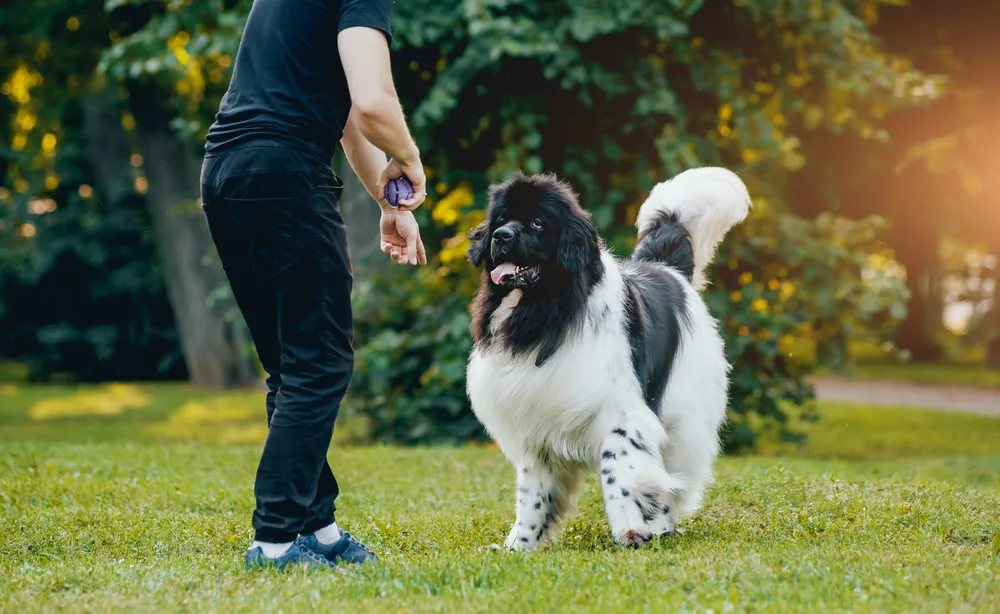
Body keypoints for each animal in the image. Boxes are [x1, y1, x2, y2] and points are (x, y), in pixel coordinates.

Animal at [464, 167, 748, 548]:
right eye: (501, 219)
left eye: (538, 222)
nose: (500, 236)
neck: (545, 312)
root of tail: (665, 268)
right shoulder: (536, 424)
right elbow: (532, 493)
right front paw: (520, 545)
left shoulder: (622, 415)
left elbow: (619, 473)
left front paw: (630, 530)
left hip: (682, 416)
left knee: (670, 474)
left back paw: (661, 526)